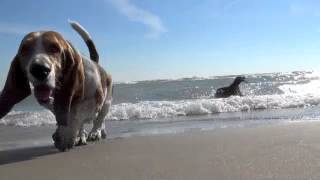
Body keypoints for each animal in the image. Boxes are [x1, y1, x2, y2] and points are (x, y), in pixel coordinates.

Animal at [0, 20, 114, 151]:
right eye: (24, 49)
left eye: (55, 48)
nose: (39, 70)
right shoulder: (51, 103)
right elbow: (62, 112)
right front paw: (69, 134)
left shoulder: (94, 101)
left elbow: (76, 115)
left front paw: (66, 135)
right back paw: (82, 136)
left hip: (107, 101)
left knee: (99, 119)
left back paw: (96, 132)